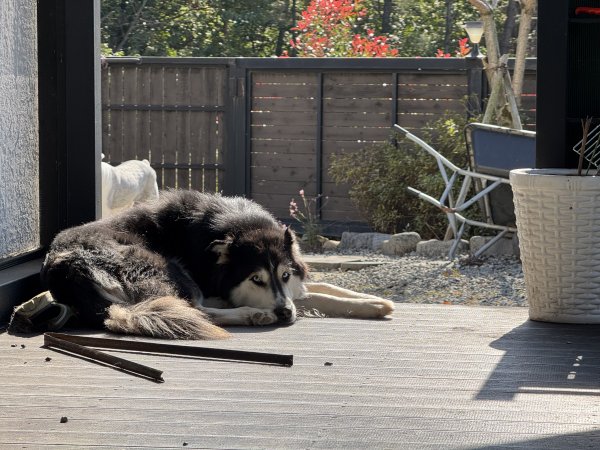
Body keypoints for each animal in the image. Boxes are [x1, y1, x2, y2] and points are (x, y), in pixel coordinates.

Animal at [38, 191, 394, 342]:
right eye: (255, 279)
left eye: (284, 275)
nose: (284, 314)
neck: (234, 226)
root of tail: (66, 270)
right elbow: (320, 296)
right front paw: (370, 306)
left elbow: (321, 288)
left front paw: (376, 301)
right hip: (168, 268)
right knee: (195, 309)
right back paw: (253, 315)